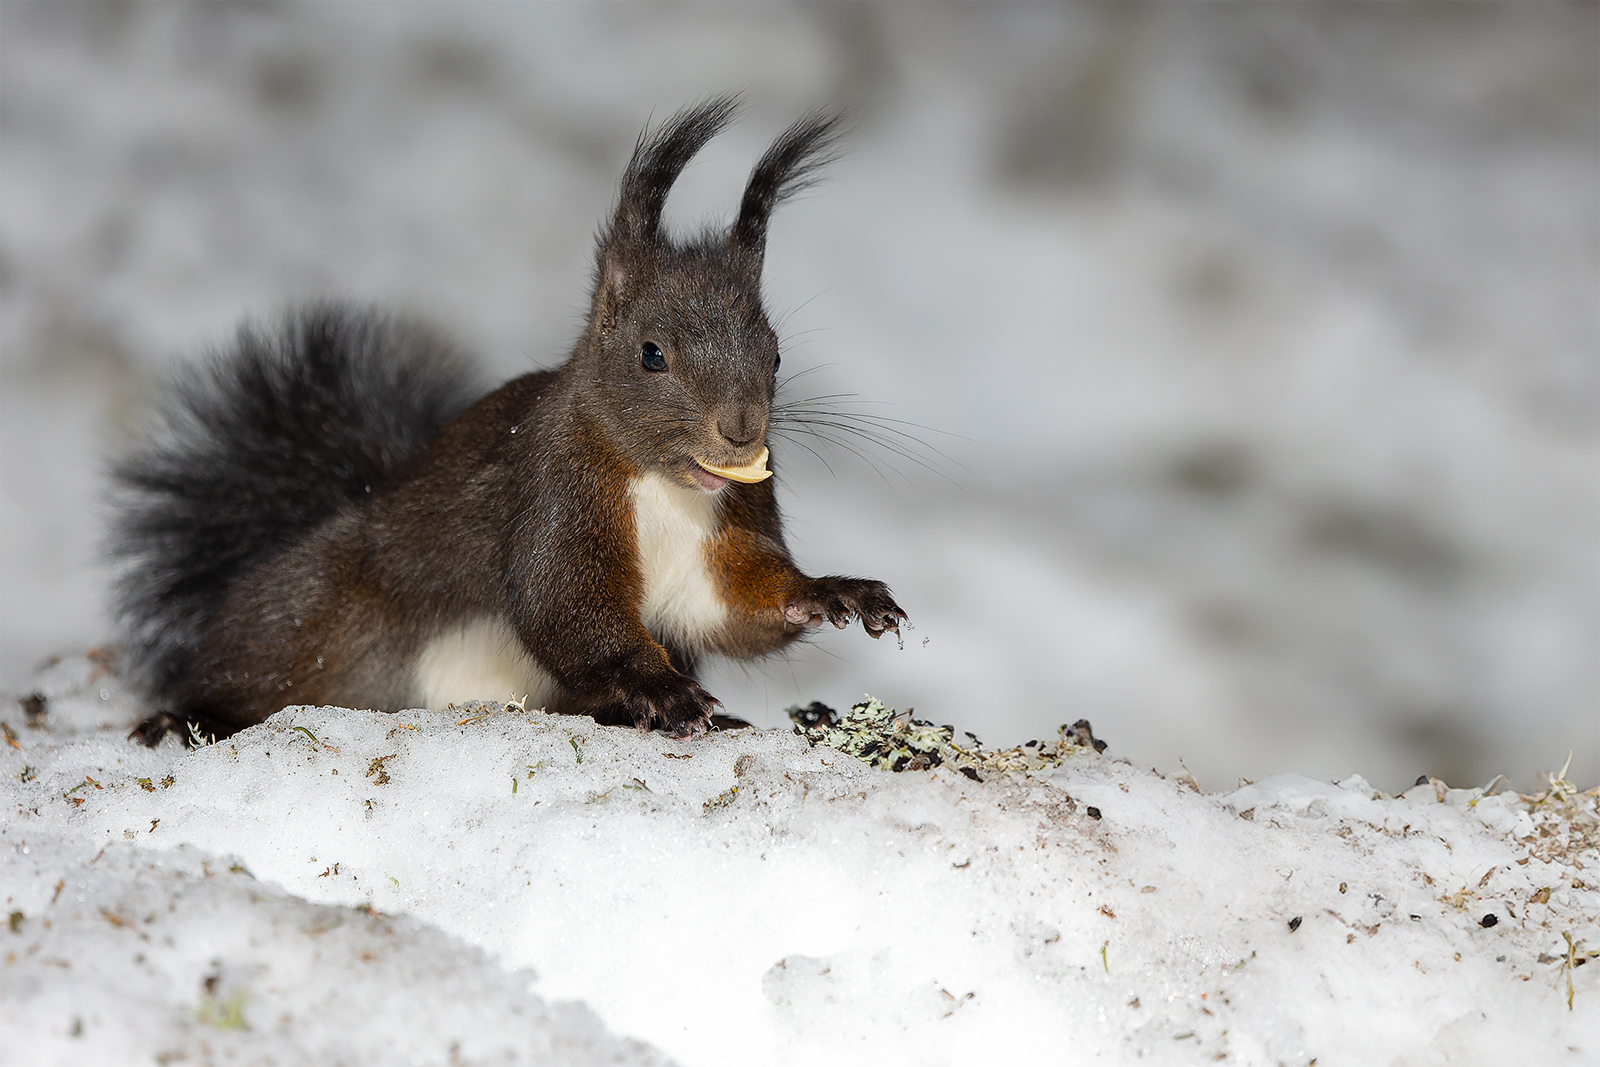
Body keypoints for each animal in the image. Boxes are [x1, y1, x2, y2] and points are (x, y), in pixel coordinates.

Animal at [112, 102, 908, 751]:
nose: (742, 431)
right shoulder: (551, 490)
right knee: (254, 659)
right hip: (312, 608)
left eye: (774, 354)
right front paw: (662, 691)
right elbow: (565, 603)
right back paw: (185, 718)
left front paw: (834, 590)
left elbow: (732, 608)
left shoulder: (720, 536)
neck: (663, 486)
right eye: (651, 353)